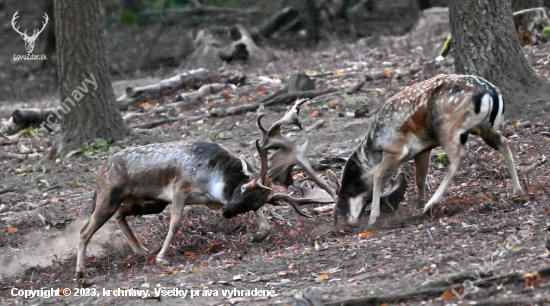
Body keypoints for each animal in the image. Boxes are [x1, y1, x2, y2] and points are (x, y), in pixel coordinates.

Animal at [334, 74, 524, 226]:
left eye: (344, 194)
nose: (344, 221)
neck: (375, 146)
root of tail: (491, 92)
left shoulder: (395, 150)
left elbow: (378, 176)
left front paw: (374, 217)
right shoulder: (422, 150)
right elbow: (420, 177)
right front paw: (418, 204)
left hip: (448, 127)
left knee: (458, 156)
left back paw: (431, 204)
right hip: (486, 127)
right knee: (503, 142)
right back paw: (517, 190)